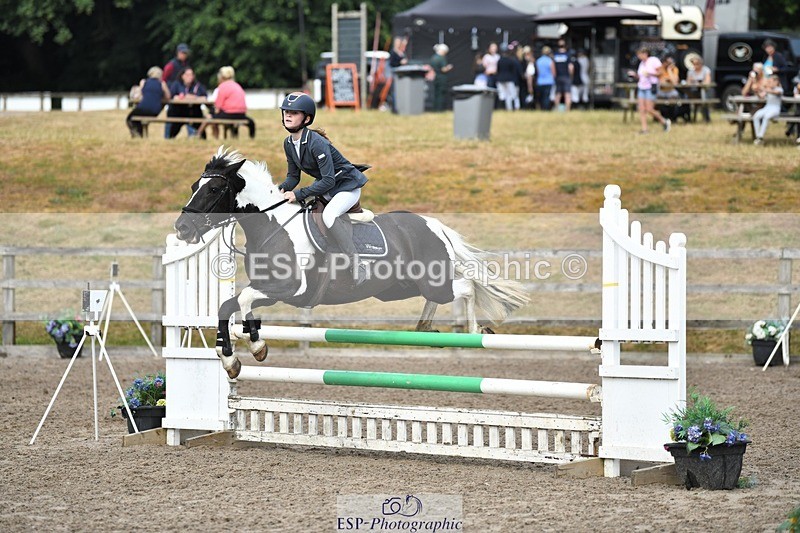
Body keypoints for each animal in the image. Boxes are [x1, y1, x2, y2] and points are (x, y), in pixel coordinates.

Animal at [174, 148, 530, 378]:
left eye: (215, 188)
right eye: (193, 187)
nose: (182, 228)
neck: (274, 226)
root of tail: (433, 224)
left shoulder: (288, 289)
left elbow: (245, 301)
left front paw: (257, 345)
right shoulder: (269, 289)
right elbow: (226, 307)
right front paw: (229, 360)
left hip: (431, 281)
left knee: (465, 287)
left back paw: (474, 331)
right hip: (397, 288)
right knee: (439, 297)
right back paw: (425, 328)